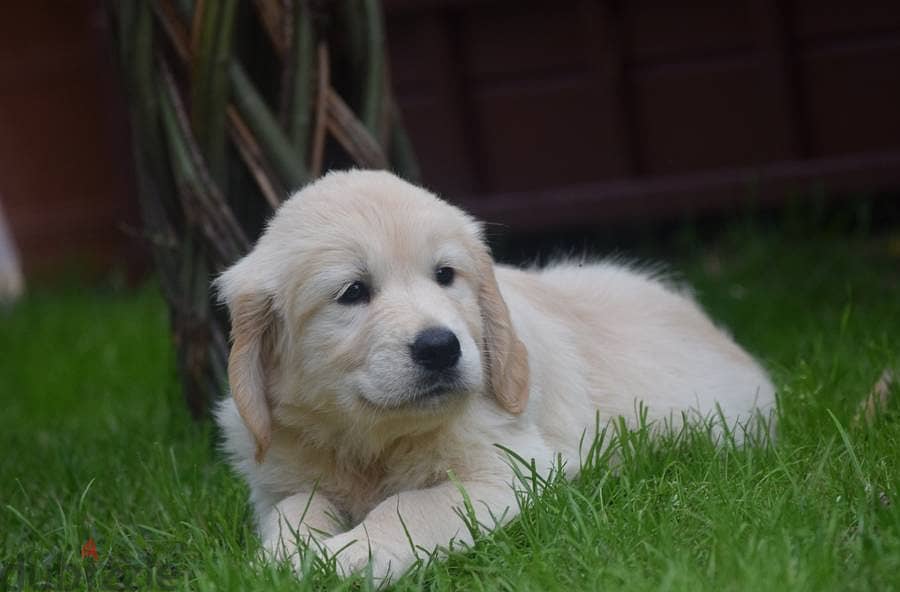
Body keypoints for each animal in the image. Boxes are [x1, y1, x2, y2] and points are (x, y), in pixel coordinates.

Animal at [213, 169, 772, 580]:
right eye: (353, 292)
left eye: (445, 275)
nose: (441, 347)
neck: (371, 445)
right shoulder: (277, 481)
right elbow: (294, 508)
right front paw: (282, 557)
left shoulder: (512, 469)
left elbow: (414, 507)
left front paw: (350, 555)